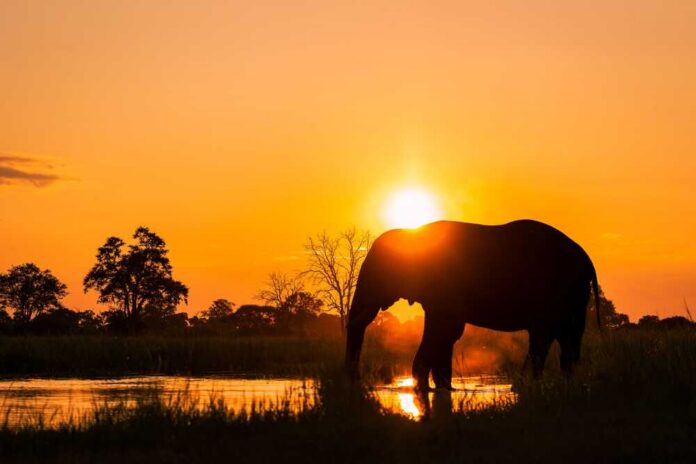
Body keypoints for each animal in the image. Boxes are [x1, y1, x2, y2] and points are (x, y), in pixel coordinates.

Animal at [345, 220, 600, 391]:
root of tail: (587, 259)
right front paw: (443, 389)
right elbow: (447, 333)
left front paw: (424, 388)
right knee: (565, 338)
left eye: (378, 273)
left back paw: (523, 385)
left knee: (544, 337)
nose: (357, 382)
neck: (412, 234)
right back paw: (561, 382)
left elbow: (443, 329)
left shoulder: (445, 286)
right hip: (573, 297)